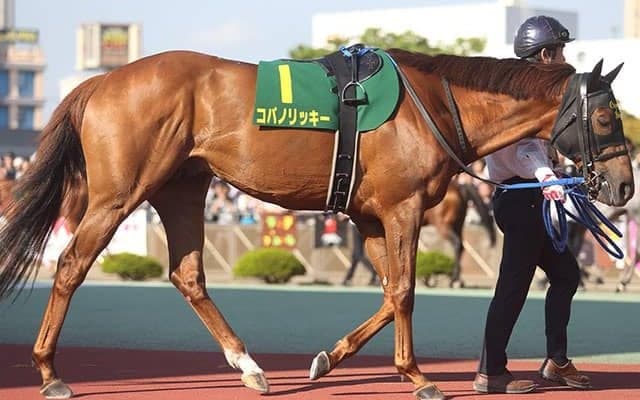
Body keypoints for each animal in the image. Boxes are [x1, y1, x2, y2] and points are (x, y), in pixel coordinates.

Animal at [0, 48, 632, 400]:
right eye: (605, 116)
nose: (624, 186)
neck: (432, 102)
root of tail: (100, 81)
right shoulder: (401, 209)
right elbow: (404, 290)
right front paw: (418, 376)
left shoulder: (370, 215)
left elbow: (389, 292)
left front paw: (329, 358)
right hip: (118, 193)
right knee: (71, 264)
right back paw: (49, 371)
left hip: (182, 187)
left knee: (188, 276)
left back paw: (249, 366)